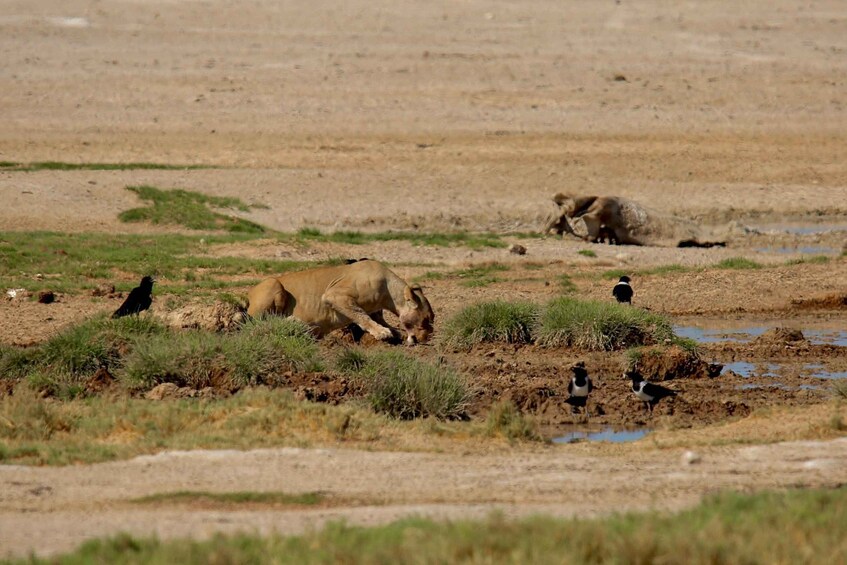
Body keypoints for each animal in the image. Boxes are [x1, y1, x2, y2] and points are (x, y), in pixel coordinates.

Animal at [246, 260, 434, 345]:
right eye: (425, 319)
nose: (426, 338)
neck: (389, 295)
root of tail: (249, 293)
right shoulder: (334, 295)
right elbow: (361, 315)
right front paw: (382, 332)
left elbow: (376, 318)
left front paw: (394, 332)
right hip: (273, 283)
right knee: (259, 323)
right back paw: (295, 322)